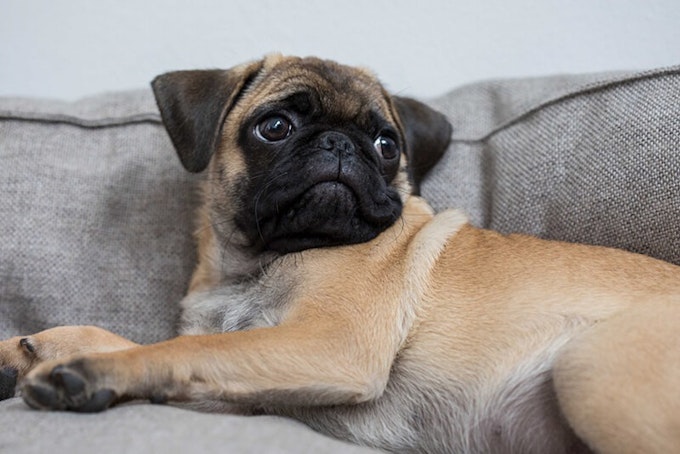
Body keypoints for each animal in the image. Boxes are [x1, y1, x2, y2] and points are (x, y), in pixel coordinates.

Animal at [1, 55, 680, 452]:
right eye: (274, 127)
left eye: (386, 143)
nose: (339, 144)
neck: (254, 266)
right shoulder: (252, 379)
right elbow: (148, 343)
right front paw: (28, 348)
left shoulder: (326, 345)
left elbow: (178, 350)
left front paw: (89, 374)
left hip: (591, 367)